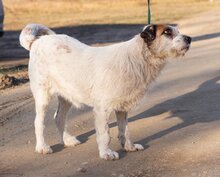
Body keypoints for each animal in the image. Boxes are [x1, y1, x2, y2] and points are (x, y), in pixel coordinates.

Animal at [19, 22, 191, 160]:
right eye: (167, 32)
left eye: (177, 30)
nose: (189, 38)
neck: (138, 57)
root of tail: (37, 41)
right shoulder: (102, 109)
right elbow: (105, 134)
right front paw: (106, 153)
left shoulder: (122, 108)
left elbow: (124, 130)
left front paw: (129, 147)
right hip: (42, 97)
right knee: (39, 122)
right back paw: (42, 147)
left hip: (67, 96)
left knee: (59, 117)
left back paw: (68, 140)